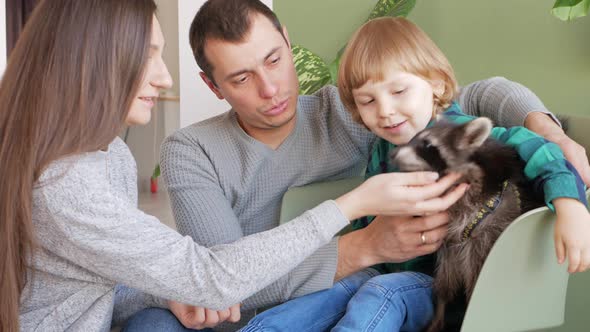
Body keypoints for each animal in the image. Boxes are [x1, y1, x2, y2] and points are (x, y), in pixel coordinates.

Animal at [394, 117, 544, 332]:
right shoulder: (450, 241)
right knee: (446, 280)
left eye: (428, 145)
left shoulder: (490, 229)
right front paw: (441, 307)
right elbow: (445, 283)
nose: (393, 154)